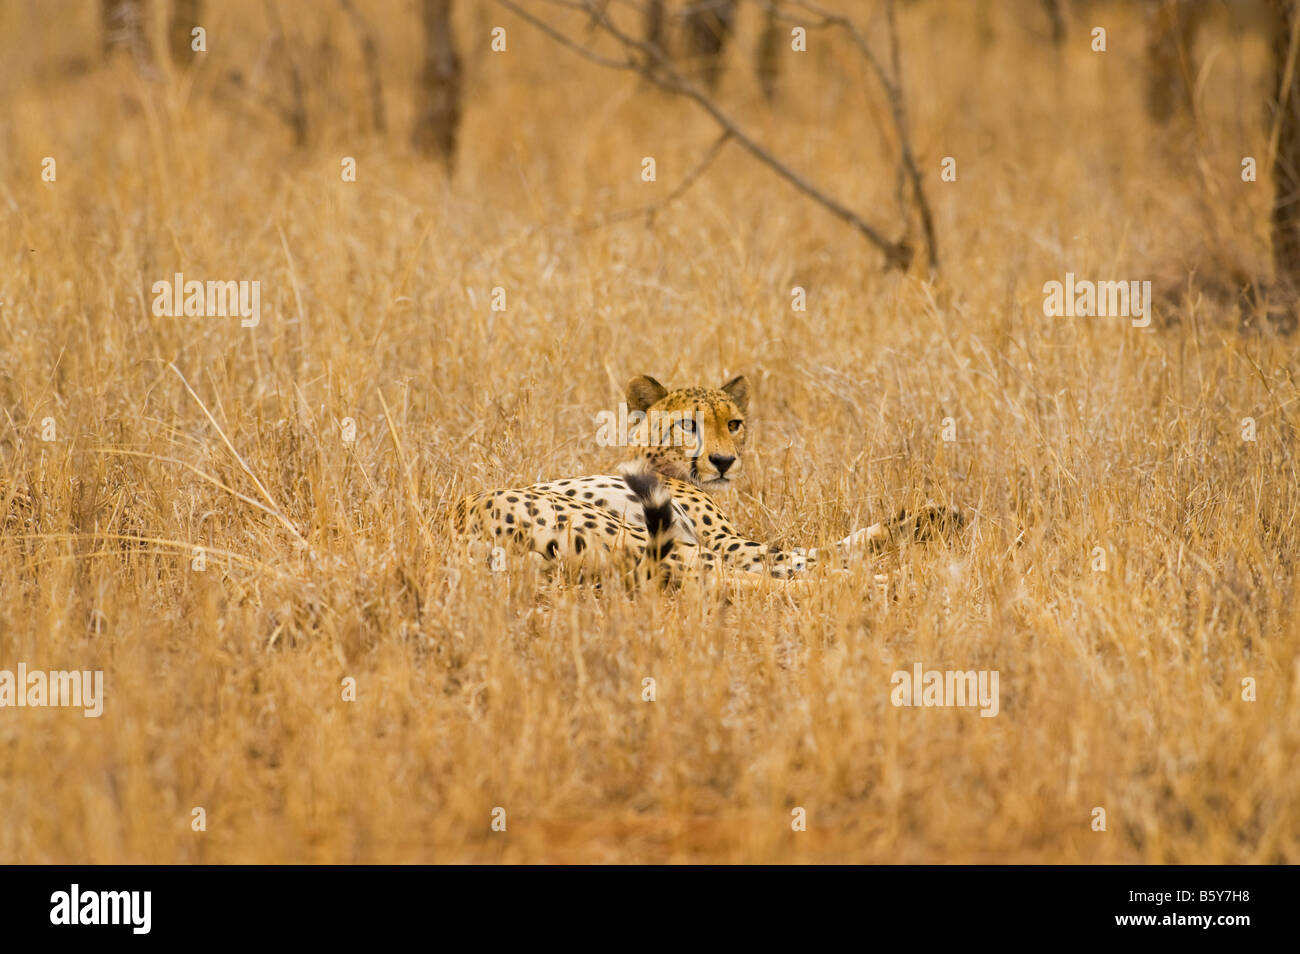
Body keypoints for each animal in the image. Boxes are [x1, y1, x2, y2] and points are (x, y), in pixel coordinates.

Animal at [452, 374, 961, 582]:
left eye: (733, 423)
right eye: (687, 424)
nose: (723, 461)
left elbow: (828, 544)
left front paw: (933, 517)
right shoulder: (727, 541)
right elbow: (802, 553)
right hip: (656, 541)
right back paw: (883, 582)